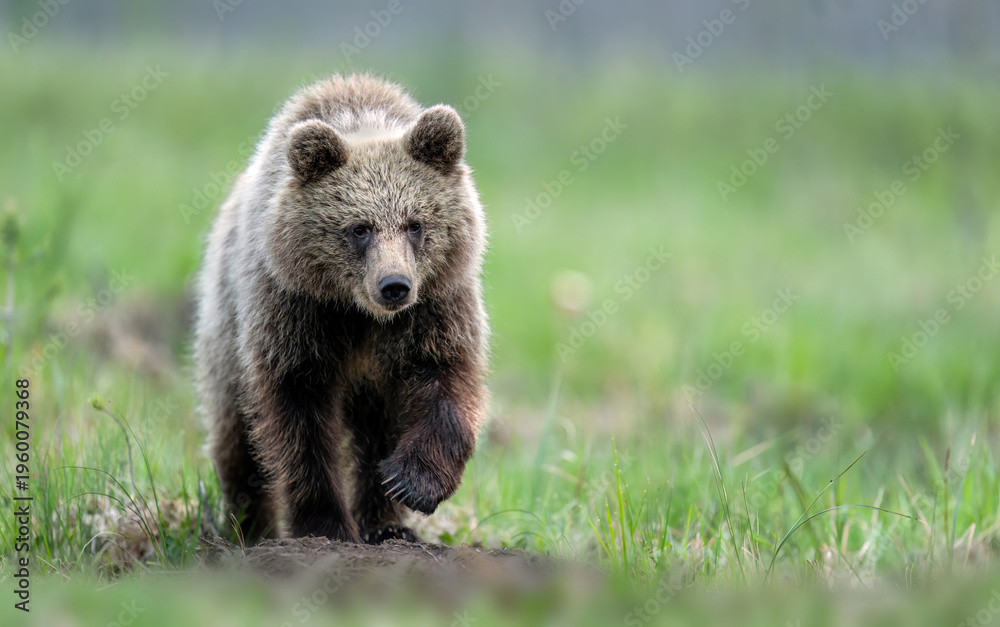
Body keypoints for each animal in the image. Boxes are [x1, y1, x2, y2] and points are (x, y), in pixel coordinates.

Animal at [193, 74, 489, 544]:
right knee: (234, 437)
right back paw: (248, 527)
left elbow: (445, 381)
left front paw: (409, 483)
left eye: (415, 224)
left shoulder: (436, 305)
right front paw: (325, 523)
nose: (394, 286)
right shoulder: (296, 310)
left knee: (376, 434)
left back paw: (385, 525)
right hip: (223, 329)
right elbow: (300, 420)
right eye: (359, 228)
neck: (359, 315)